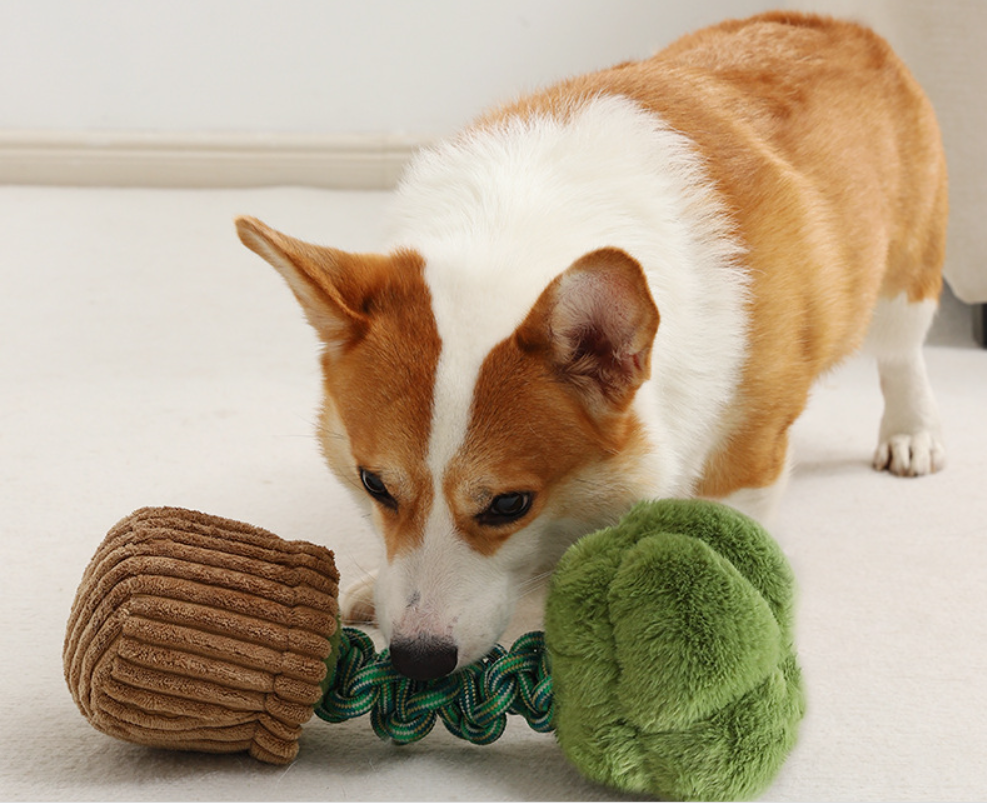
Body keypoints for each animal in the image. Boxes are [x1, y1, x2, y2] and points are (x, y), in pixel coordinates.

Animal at [233, 11, 948, 680]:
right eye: (374, 484)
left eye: (509, 504)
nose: (416, 660)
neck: (517, 231)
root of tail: (836, 24)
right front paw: (364, 591)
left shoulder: (743, 458)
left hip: (904, 286)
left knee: (902, 354)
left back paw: (911, 435)